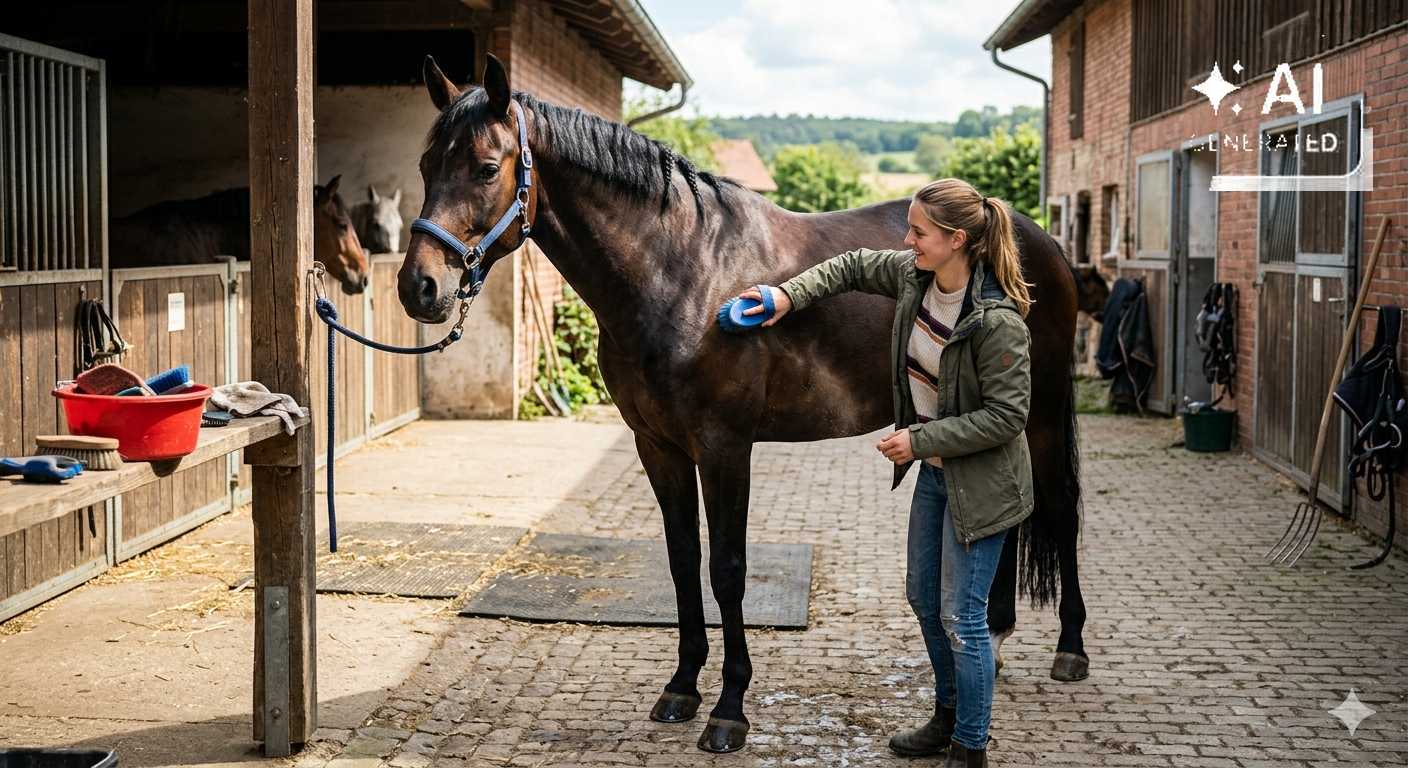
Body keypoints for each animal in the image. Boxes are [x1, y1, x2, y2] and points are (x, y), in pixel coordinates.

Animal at [399, 55, 1086, 753]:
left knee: (1057, 506)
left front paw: (729, 709)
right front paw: (681, 688)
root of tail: (1034, 238)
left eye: (487, 168)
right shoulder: (659, 447)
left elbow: (728, 568)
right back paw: (994, 639)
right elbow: (683, 561)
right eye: (425, 166)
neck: (683, 271)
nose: (419, 287)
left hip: (1039, 415)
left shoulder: (725, 447)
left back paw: (1069, 649)